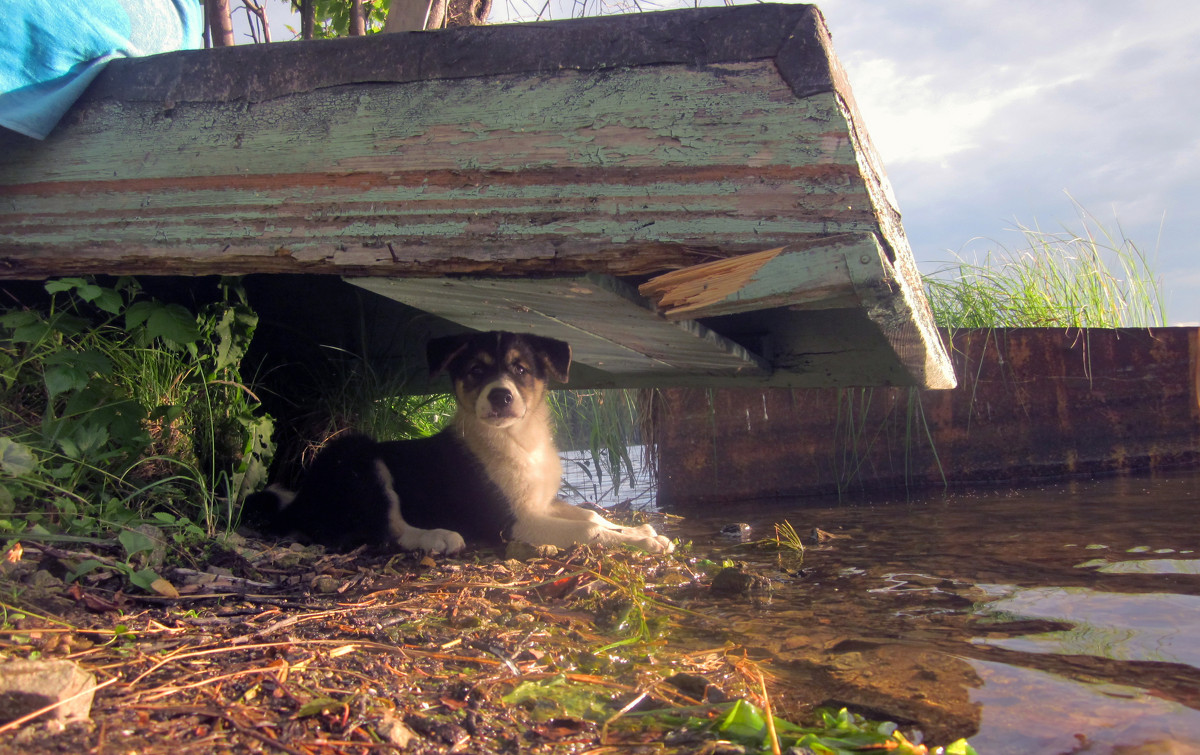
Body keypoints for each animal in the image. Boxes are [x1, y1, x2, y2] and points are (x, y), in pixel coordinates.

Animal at [249, 328, 676, 554]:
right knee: (386, 530)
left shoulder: (537, 504)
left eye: (521, 369)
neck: (517, 441)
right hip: (357, 455)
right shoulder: (510, 522)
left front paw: (639, 532)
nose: (500, 396)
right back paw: (438, 536)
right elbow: (586, 530)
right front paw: (644, 542)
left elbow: (589, 515)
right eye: (474, 371)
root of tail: (298, 502)